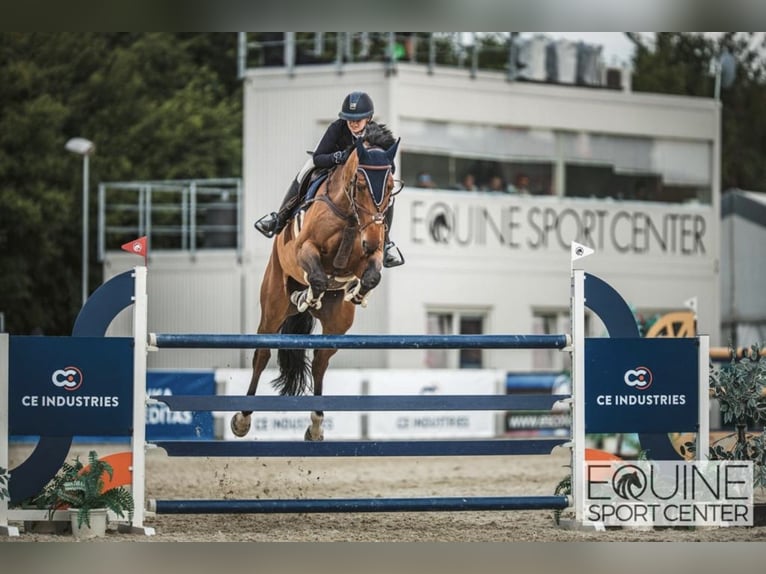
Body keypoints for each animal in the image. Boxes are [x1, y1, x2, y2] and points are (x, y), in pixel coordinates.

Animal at [232, 126, 402, 440]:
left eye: (390, 188)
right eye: (360, 184)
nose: (373, 240)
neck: (350, 216)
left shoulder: (368, 256)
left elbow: (371, 274)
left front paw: (357, 291)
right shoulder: (305, 249)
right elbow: (319, 277)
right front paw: (306, 295)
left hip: (338, 323)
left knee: (321, 361)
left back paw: (316, 424)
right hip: (273, 304)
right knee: (262, 353)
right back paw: (242, 419)